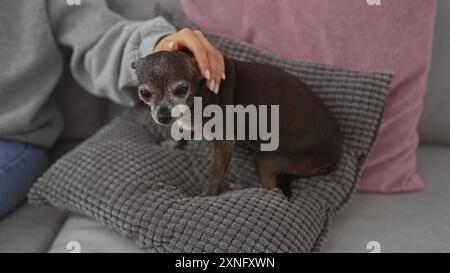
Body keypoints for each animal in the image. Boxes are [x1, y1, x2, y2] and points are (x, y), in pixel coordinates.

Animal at [132, 50, 342, 196]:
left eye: (181, 89)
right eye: (144, 93)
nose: (163, 116)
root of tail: (335, 154)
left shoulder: (224, 143)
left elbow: (216, 173)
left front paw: (210, 194)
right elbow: (184, 132)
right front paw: (173, 144)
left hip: (267, 157)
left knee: (270, 188)